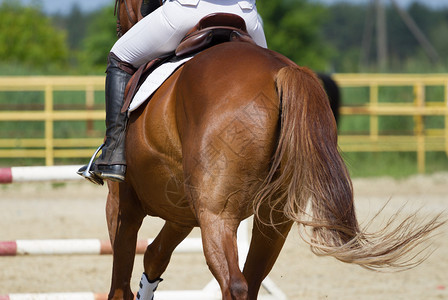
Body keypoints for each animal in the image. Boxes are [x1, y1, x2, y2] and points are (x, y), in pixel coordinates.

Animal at [106, 1, 444, 298]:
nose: (121, 26)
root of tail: (280, 72)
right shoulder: (182, 214)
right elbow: (154, 255)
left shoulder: (123, 203)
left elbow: (120, 282)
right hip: (274, 217)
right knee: (251, 280)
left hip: (218, 214)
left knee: (234, 284)